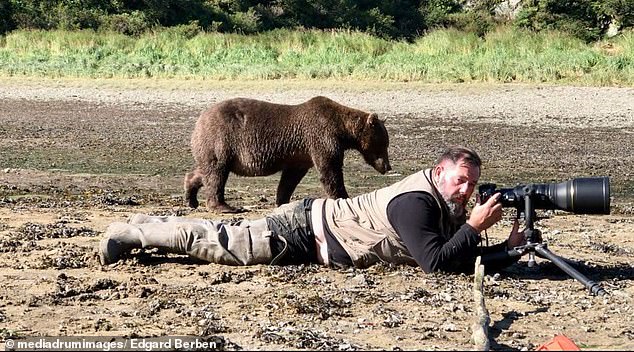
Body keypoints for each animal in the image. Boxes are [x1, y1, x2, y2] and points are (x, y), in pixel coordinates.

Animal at [183, 95, 390, 213]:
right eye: (384, 144)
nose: (388, 166)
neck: (343, 129)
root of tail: (199, 120)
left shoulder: (300, 154)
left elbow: (290, 178)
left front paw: (282, 200)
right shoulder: (322, 137)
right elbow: (330, 171)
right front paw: (343, 197)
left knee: (205, 171)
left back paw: (191, 196)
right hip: (221, 138)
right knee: (217, 172)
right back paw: (224, 206)